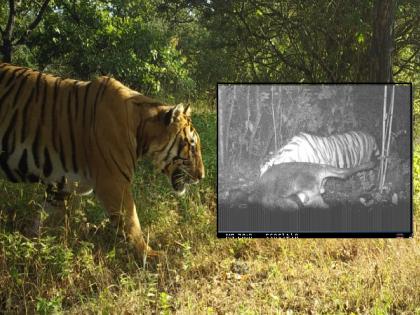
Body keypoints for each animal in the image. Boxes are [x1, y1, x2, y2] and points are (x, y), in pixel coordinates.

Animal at [0, 63, 204, 260]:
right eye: (192, 145)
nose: (202, 176)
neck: (141, 129)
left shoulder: (61, 186)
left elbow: (44, 218)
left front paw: (32, 244)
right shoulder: (114, 183)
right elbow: (131, 221)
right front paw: (150, 256)